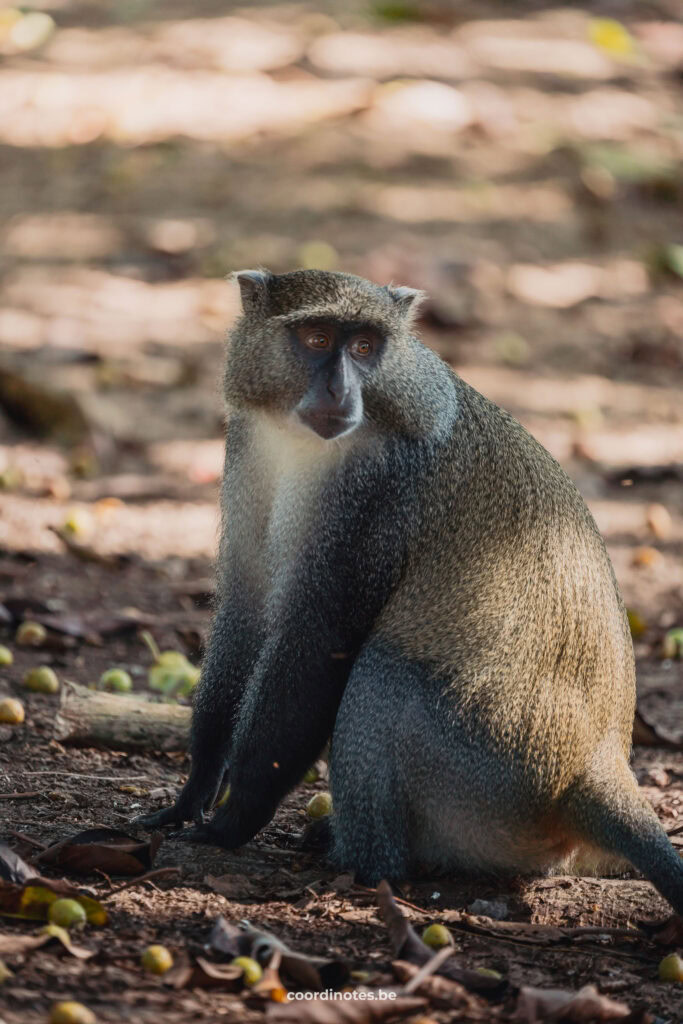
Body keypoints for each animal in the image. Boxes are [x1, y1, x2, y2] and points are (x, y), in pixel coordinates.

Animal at [135, 268, 683, 917]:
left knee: (381, 676)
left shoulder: (376, 496)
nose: (341, 390)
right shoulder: (247, 446)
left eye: (365, 347)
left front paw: (231, 822)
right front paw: (193, 794)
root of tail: (595, 770)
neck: (302, 444)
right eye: (317, 339)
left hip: (493, 776)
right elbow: (245, 611)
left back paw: (364, 865)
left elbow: (318, 646)